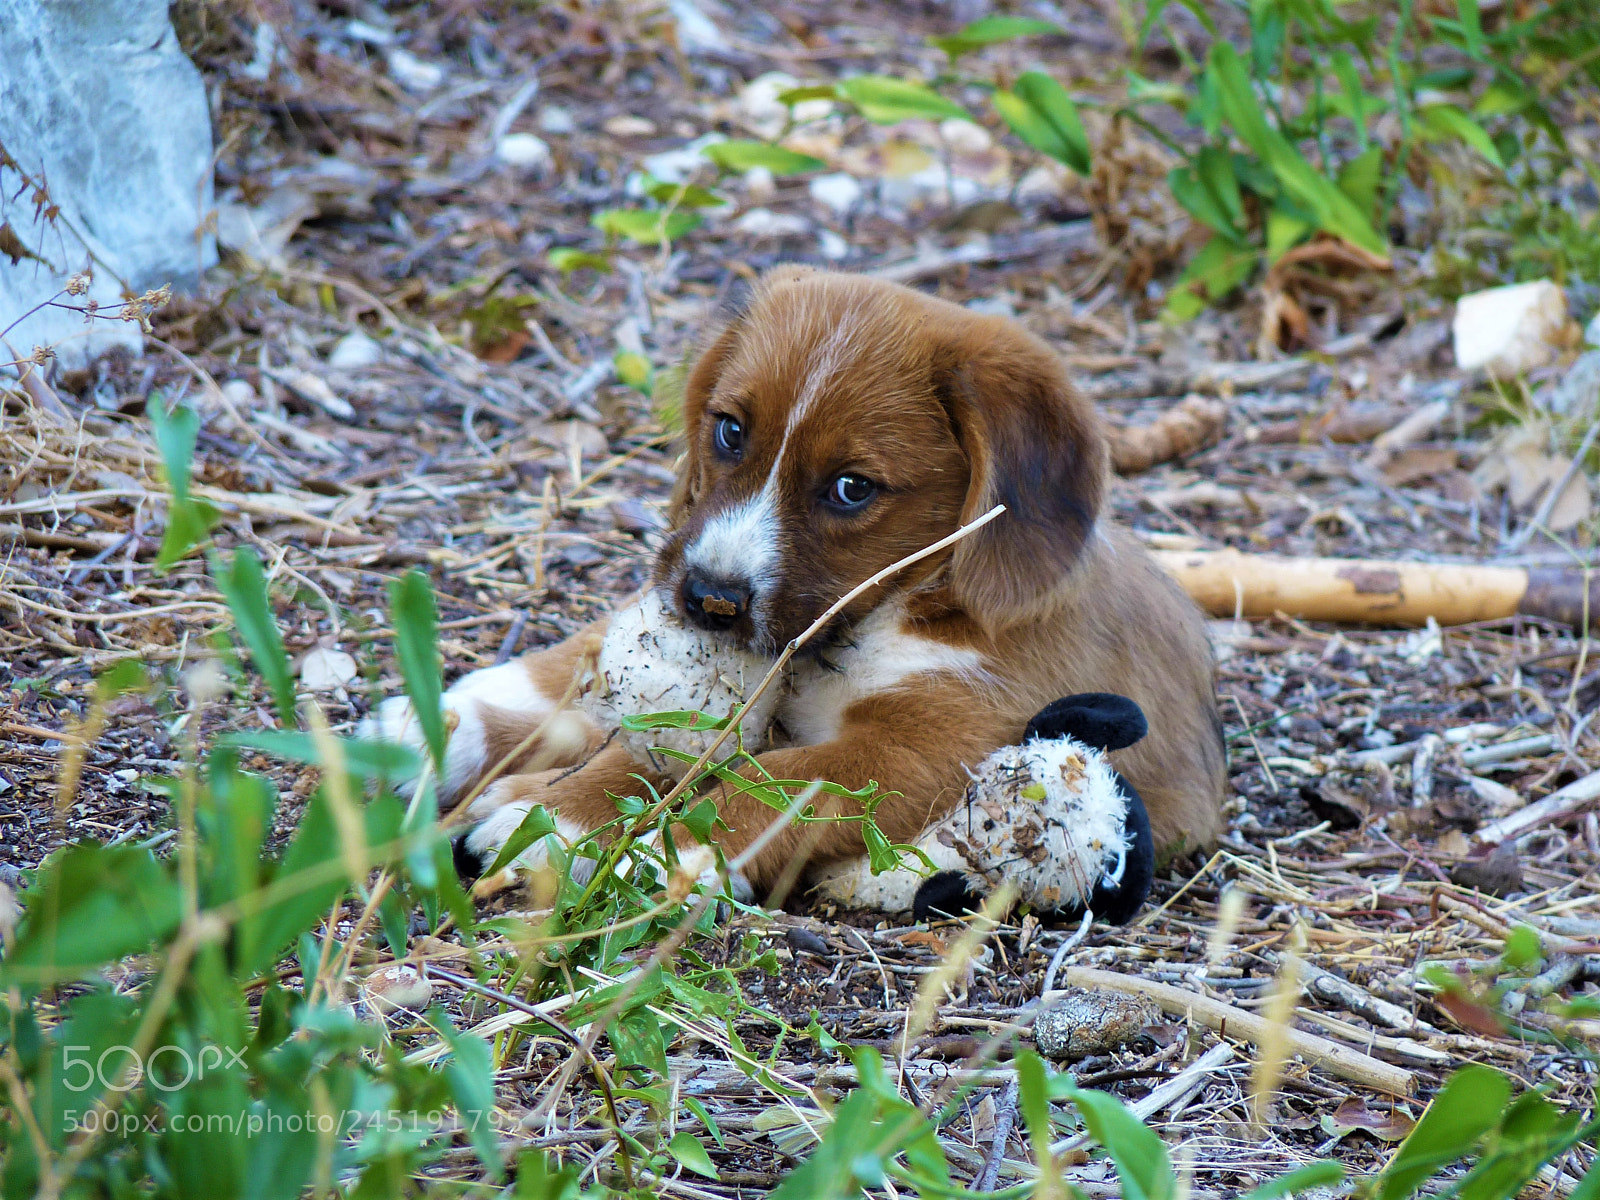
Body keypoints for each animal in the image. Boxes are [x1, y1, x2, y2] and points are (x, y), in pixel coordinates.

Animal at [368, 267, 1222, 896]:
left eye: (851, 489)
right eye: (729, 431)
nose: (708, 600)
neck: (901, 610)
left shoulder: (936, 744)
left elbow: (770, 785)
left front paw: (645, 848)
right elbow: (630, 728)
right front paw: (534, 801)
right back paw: (437, 729)